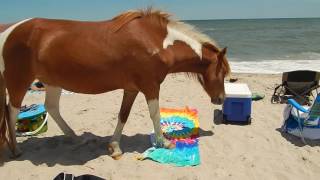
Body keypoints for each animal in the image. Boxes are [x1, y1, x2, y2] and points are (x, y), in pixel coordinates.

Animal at [0, 9, 230, 159]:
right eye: (222, 72)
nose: (221, 99)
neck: (157, 41)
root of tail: (9, 31)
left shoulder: (132, 88)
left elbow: (123, 115)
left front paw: (114, 147)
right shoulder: (150, 86)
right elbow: (155, 114)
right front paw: (164, 142)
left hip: (52, 81)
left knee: (51, 107)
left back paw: (75, 138)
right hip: (19, 81)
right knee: (12, 111)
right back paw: (16, 150)